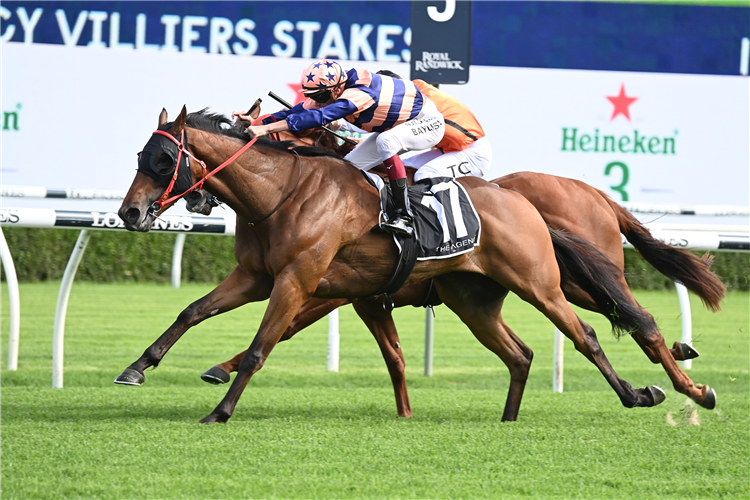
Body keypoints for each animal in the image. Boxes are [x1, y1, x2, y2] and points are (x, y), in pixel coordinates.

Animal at [114, 108, 680, 422]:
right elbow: (192, 311)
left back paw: (649, 393)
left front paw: (220, 410)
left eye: (164, 160)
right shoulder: (260, 278)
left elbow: (262, 347)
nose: (129, 213)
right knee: (521, 354)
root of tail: (522, 203)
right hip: (474, 299)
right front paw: (136, 367)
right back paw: (510, 418)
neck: (282, 192)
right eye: (141, 157)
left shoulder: (302, 281)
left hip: (542, 284)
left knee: (597, 332)